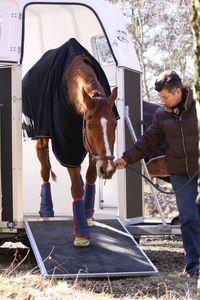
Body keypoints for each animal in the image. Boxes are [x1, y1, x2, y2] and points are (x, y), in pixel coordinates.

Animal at [33, 55, 118, 246]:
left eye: (115, 124)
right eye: (90, 125)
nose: (108, 169)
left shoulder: (92, 151)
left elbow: (90, 176)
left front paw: (87, 215)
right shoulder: (67, 148)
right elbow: (77, 187)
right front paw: (81, 233)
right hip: (42, 136)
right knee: (44, 168)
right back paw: (46, 209)